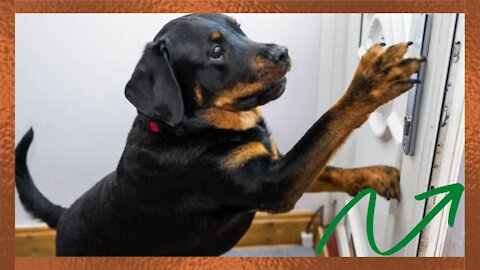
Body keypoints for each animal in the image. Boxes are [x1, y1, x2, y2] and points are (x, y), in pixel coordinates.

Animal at [15, 14, 422, 255]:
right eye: (215, 51)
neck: (190, 132)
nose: (282, 51)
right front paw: (370, 82)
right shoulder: (274, 184)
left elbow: (328, 167)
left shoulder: (273, 163)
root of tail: (63, 216)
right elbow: (326, 125)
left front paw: (372, 175)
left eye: (239, 28)